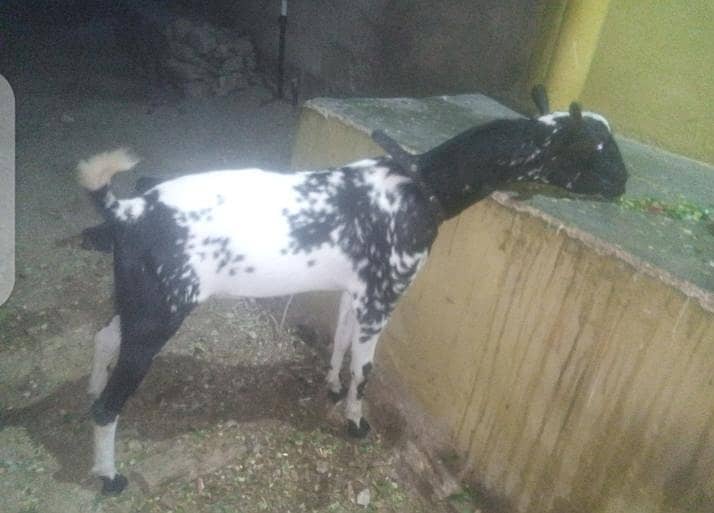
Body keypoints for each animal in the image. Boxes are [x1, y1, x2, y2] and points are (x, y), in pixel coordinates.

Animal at [80, 93, 628, 495]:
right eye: (597, 150)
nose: (623, 184)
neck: (420, 186)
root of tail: (127, 211)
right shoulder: (383, 299)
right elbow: (364, 371)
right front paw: (355, 423)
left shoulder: (356, 291)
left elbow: (340, 342)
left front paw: (328, 386)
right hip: (159, 315)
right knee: (110, 406)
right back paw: (108, 476)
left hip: (140, 302)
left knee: (104, 340)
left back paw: (90, 391)